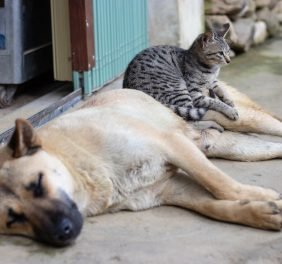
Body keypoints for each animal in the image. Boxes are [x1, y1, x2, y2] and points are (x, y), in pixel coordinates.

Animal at [0, 85, 282, 246]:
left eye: (38, 184)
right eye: (13, 219)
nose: (63, 234)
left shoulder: (172, 145)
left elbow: (220, 184)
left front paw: (262, 196)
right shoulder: (173, 189)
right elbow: (215, 207)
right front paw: (262, 212)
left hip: (242, 119)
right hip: (235, 148)